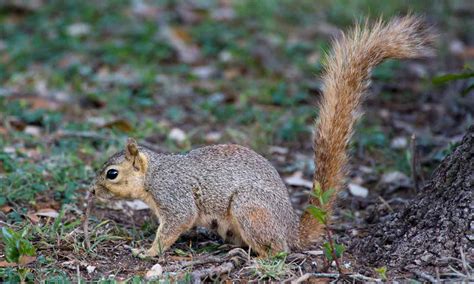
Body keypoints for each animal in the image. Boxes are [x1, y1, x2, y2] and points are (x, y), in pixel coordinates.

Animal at [89, 16, 434, 258]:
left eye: (112, 173)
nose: (92, 191)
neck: (154, 174)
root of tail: (291, 230)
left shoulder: (174, 197)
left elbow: (174, 226)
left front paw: (147, 252)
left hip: (250, 209)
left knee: (279, 251)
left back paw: (256, 259)